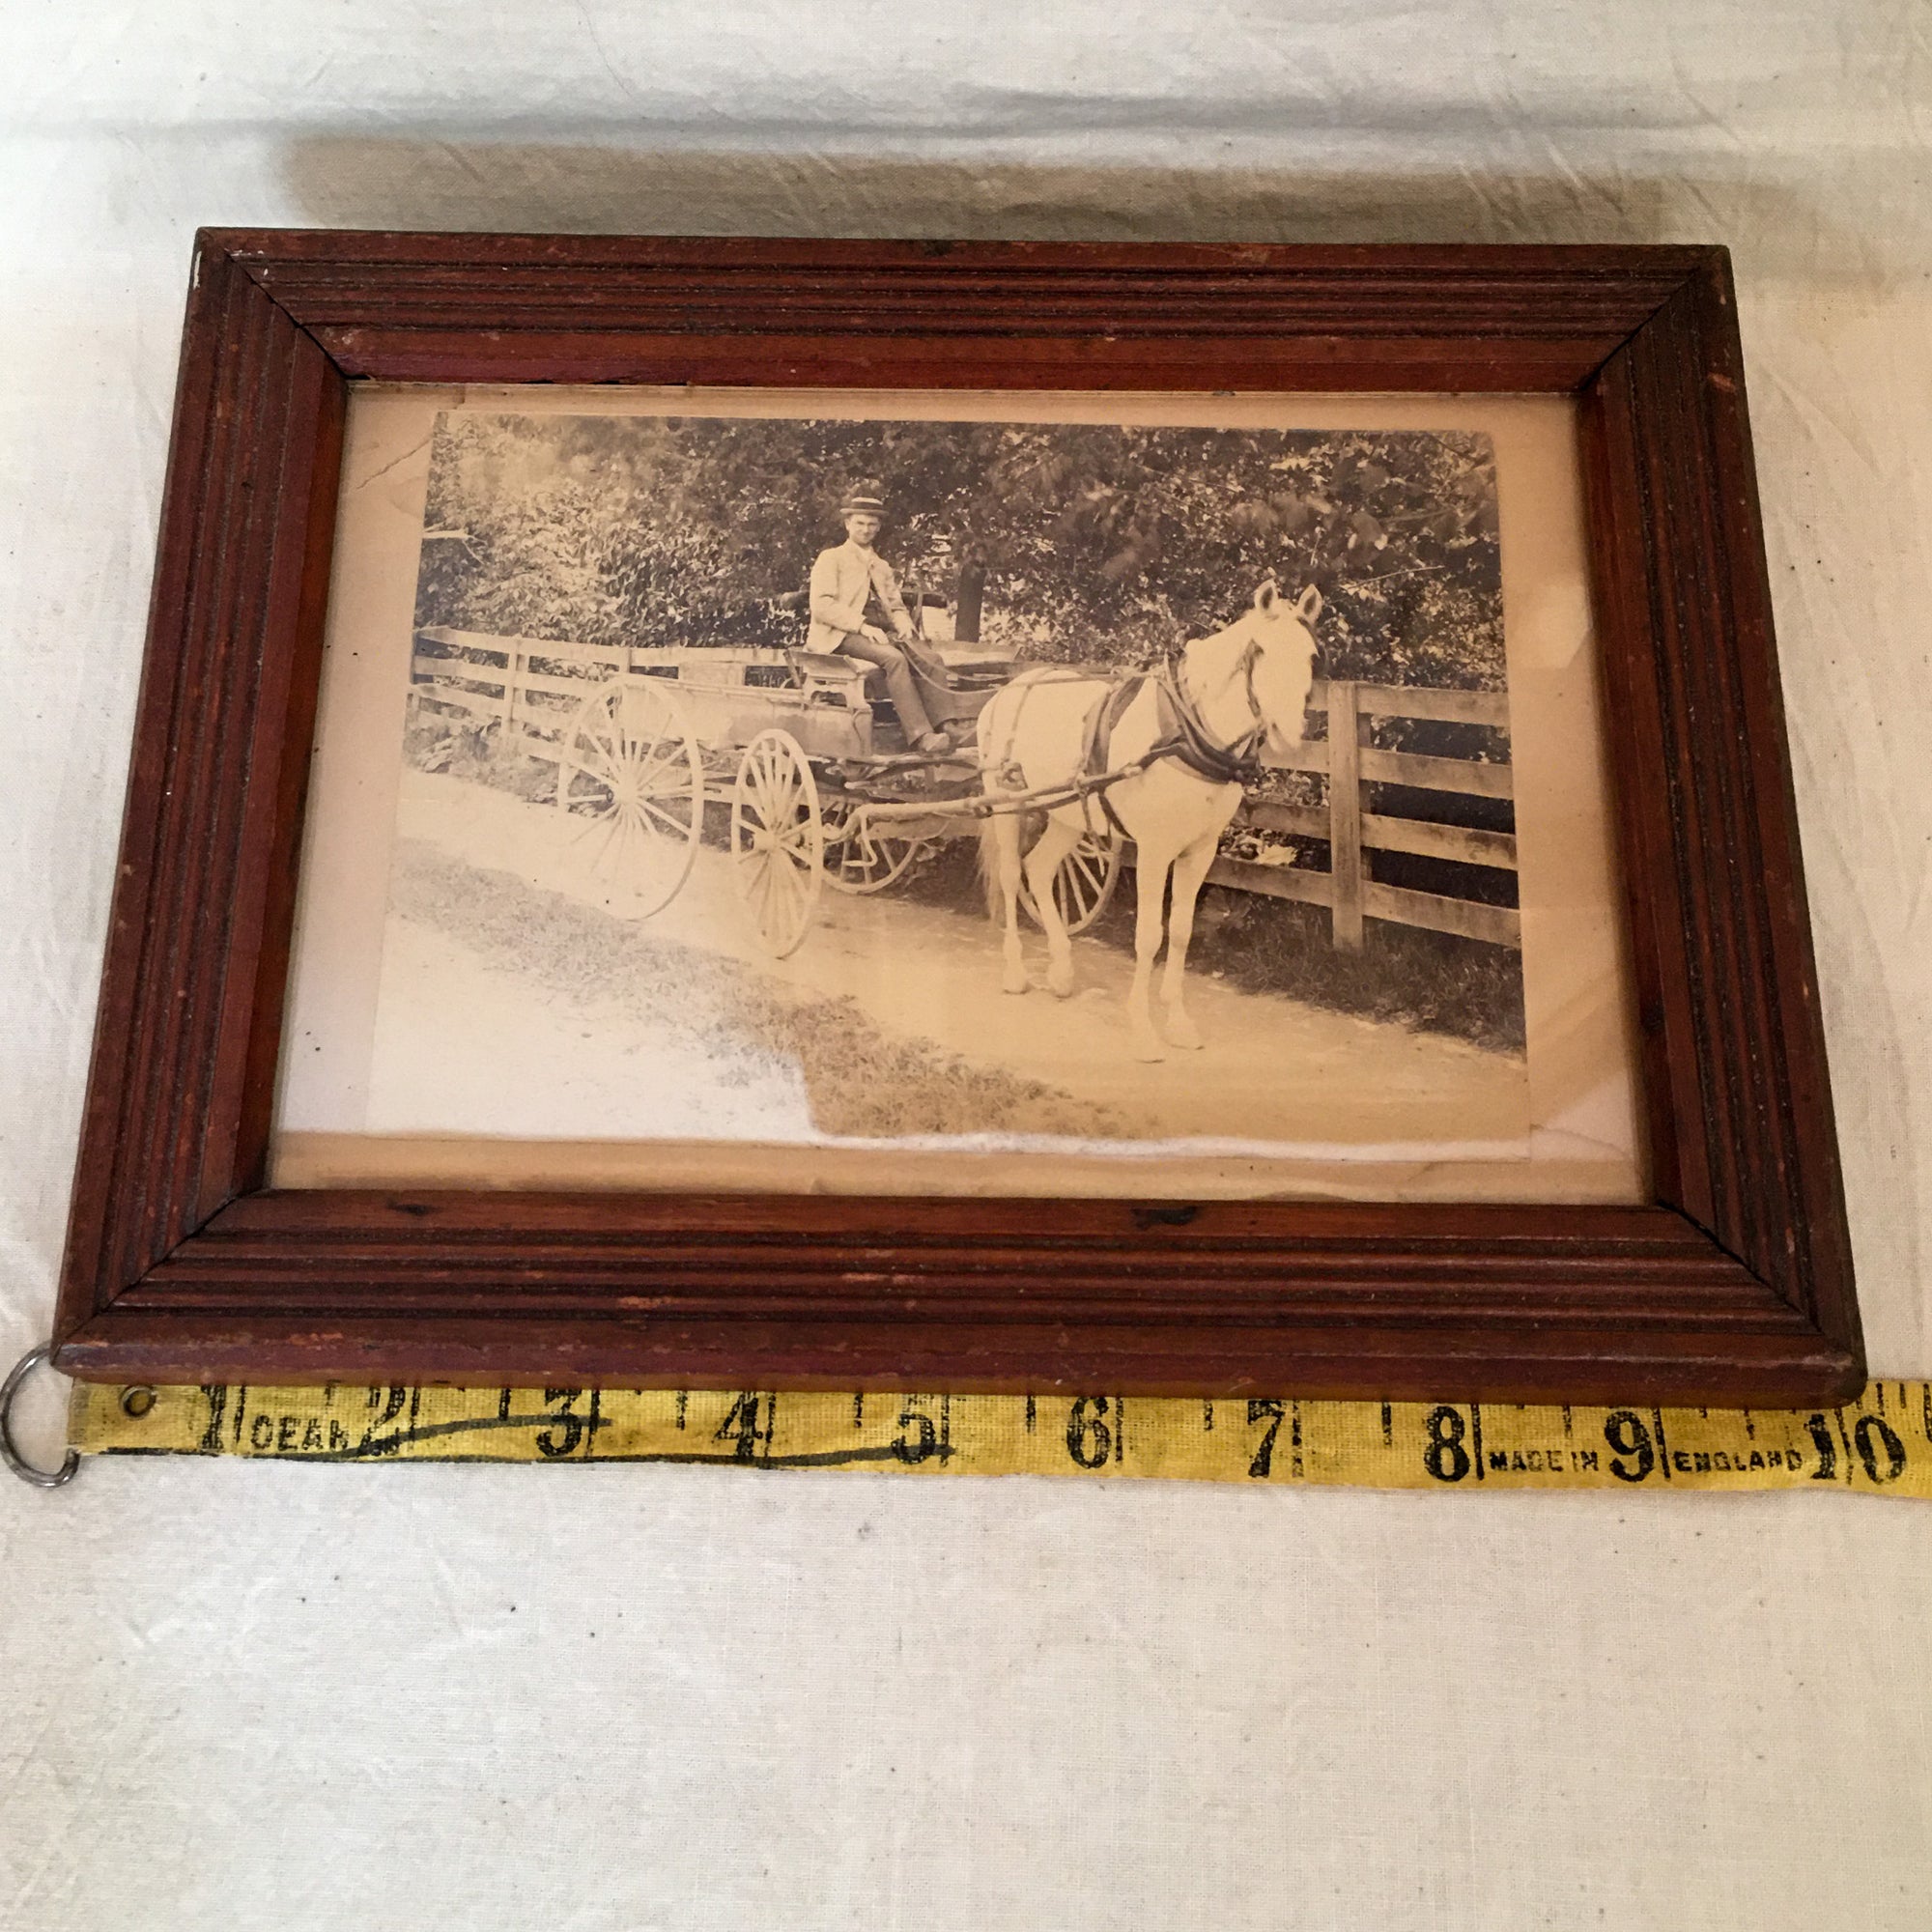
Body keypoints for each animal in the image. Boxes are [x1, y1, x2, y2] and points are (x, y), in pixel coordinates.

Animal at [974, 580, 1321, 1066]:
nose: (1289, 734)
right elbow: (1148, 936)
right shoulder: (1156, 850)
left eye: (1310, 655)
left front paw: (1178, 1023)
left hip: (1067, 814)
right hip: (1006, 804)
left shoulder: (1200, 850)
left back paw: (1061, 971)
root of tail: (1012, 686)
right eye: (1261, 651)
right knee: (1010, 877)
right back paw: (1016, 972)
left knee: (1039, 869)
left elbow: (1180, 932)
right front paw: (1143, 1031)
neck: (1186, 732)